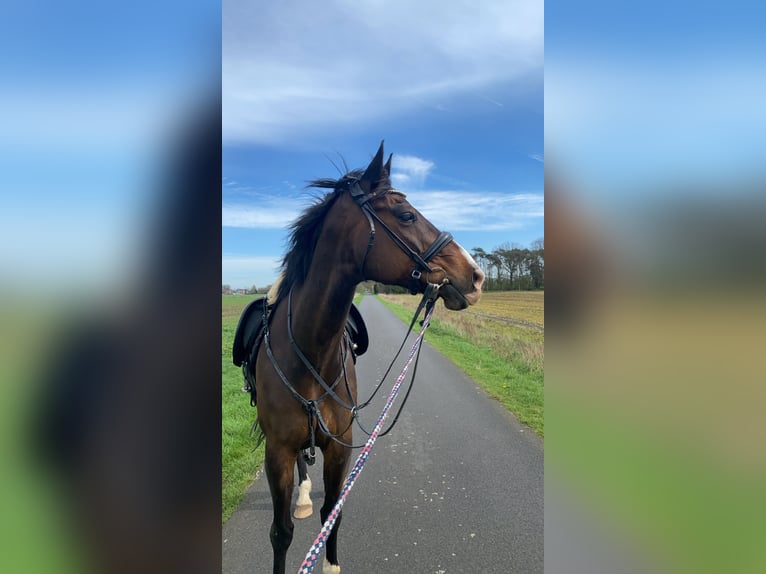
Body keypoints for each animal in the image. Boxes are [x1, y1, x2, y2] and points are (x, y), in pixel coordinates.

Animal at [249, 141, 484, 574]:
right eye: (406, 215)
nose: (476, 276)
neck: (311, 353)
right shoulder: (277, 451)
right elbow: (281, 532)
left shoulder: (341, 446)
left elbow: (332, 514)